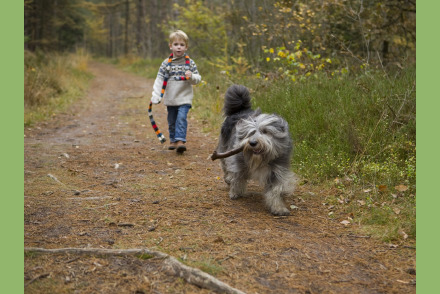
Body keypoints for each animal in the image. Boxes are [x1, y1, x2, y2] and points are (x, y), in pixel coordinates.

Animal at [213, 84, 296, 215]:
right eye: (251, 132)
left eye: (265, 131)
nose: (252, 143)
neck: (262, 158)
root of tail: (241, 109)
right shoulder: (237, 161)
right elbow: (237, 177)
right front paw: (235, 192)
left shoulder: (278, 170)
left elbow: (276, 190)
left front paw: (278, 208)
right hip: (224, 148)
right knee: (225, 165)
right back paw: (228, 179)